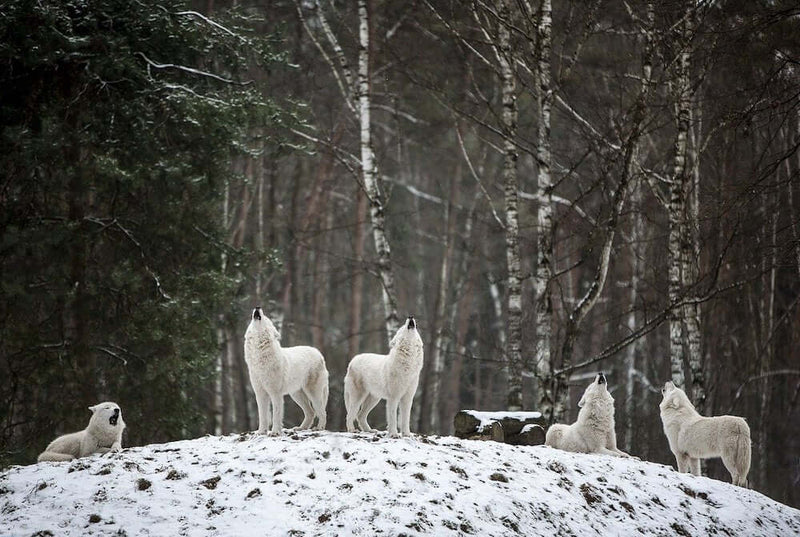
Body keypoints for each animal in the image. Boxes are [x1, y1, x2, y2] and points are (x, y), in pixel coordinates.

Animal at [244, 307, 329, 436]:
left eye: (266, 319)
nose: (258, 307)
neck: (259, 357)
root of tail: (319, 354)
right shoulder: (260, 393)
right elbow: (263, 416)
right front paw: (261, 432)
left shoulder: (275, 394)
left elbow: (276, 414)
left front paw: (275, 432)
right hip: (296, 395)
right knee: (311, 412)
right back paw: (300, 428)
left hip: (313, 393)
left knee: (322, 412)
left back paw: (319, 428)